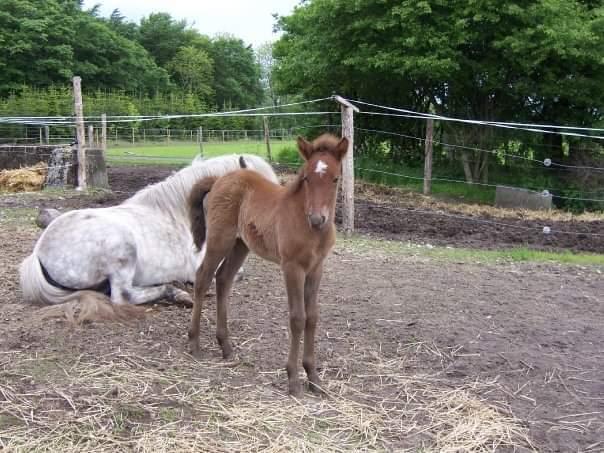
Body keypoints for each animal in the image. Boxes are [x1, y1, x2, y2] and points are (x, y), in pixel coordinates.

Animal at [189, 134, 350, 396]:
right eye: (306, 177)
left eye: (336, 179)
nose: (317, 219)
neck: (309, 228)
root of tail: (219, 179)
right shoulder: (292, 268)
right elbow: (297, 318)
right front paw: (293, 379)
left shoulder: (316, 269)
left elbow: (312, 317)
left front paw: (314, 378)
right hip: (220, 240)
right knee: (203, 277)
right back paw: (194, 342)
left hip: (240, 244)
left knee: (223, 279)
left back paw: (226, 346)